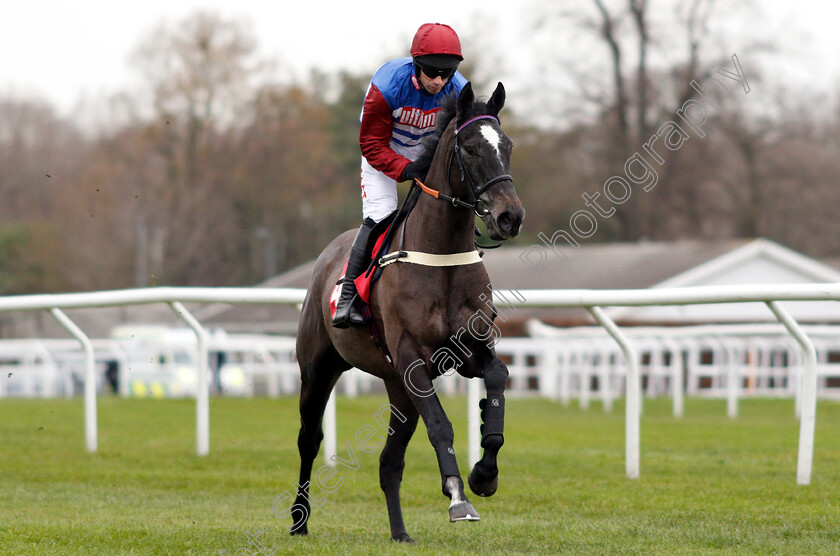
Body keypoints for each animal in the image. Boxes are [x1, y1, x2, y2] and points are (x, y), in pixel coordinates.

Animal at [292, 82, 520, 544]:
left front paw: (484, 474)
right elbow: (441, 426)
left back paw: (400, 533)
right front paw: (458, 499)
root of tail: (326, 258)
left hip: (397, 388)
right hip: (319, 367)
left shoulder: (465, 352)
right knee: (309, 439)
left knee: (389, 461)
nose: (510, 216)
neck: (441, 255)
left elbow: (497, 378)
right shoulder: (412, 358)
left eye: (507, 146)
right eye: (470, 148)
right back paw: (299, 520)